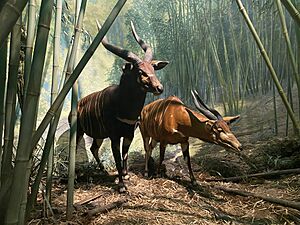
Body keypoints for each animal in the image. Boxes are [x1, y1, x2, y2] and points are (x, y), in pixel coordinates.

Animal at [71, 22, 168, 192]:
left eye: (153, 69)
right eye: (141, 71)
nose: (159, 88)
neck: (122, 105)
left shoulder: (129, 133)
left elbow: (125, 155)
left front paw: (125, 175)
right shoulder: (114, 136)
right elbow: (117, 158)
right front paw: (122, 185)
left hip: (98, 135)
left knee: (93, 148)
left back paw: (103, 170)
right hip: (79, 132)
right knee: (76, 150)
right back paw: (75, 178)